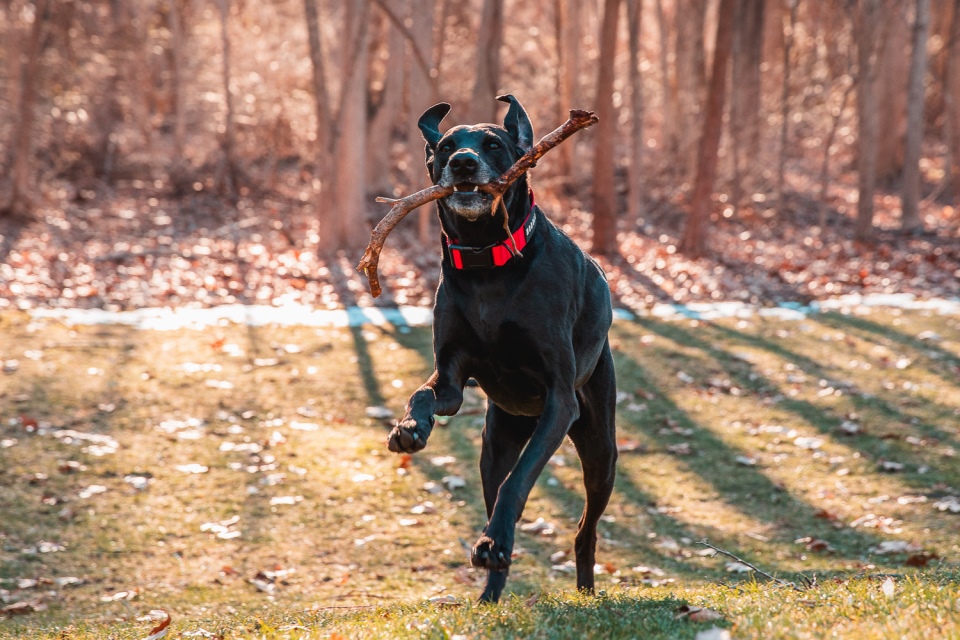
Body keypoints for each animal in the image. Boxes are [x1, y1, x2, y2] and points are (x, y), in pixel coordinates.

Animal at [386, 95, 620, 604]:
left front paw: (494, 541)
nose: (462, 163)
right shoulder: (451, 378)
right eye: (445, 146)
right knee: (497, 491)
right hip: (494, 446)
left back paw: (579, 586)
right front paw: (409, 427)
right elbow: (425, 393)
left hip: (600, 450)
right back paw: (490, 592)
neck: (485, 264)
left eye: (493, 144)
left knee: (583, 529)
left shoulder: (559, 402)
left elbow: (521, 481)